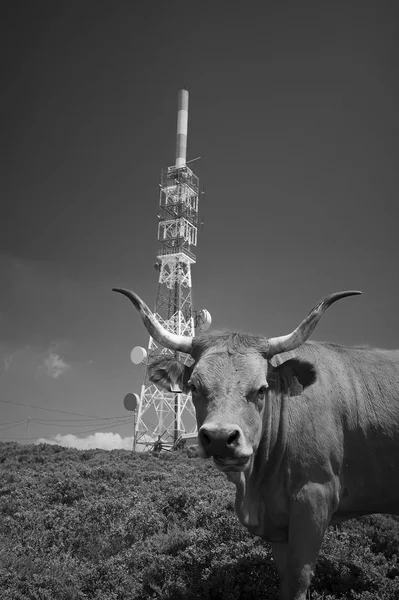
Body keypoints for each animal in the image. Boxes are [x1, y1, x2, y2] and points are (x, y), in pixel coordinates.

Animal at [112, 288, 399, 596]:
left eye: (261, 389)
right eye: (194, 386)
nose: (219, 438)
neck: (256, 485)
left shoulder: (314, 498)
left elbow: (299, 579)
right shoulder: (278, 524)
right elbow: (285, 579)